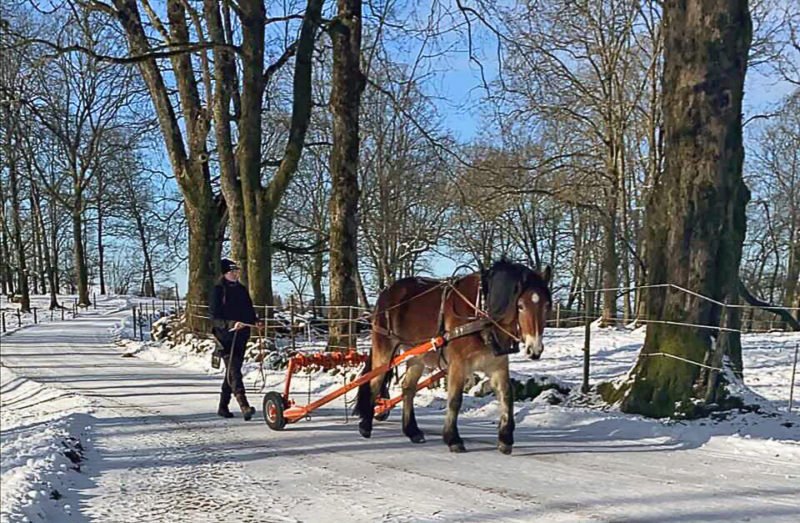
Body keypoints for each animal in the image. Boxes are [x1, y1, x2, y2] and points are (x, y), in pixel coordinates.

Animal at [354, 258, 552, 454]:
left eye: (546, 305)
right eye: (520, 306)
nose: (535, 349)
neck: (481, 314)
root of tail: (387, 292)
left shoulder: (497, 365)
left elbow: (506, 396)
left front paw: (505, 439)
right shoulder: (458, 363)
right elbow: (455, 399)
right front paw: (453, 439)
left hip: (417, 356)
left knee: (408, 387)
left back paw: (412, 431)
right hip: (384, 348)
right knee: (374, 381)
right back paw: (365, 425)